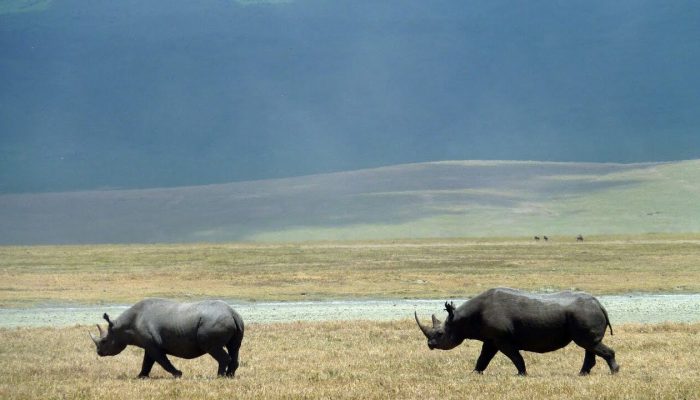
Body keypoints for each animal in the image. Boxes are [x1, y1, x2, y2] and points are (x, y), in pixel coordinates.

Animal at [89, 298, 245, 380]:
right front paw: (140, 377)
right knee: (234, 348)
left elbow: (162, 361)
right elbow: (147, 362)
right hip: (235, 321)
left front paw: (178, 374)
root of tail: (233, 313)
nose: (99, 352)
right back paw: (230, 376)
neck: (122, 327)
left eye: (104, 341)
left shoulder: (153, 345)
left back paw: (219, 377)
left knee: (214, 348)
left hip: (214, 323)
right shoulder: (149, 345)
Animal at [412, 288, 620, 376]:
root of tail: (600, 305)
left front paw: (521, 374)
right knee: (589, 345)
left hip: (584, 313)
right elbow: (483, 357)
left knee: (589, 344)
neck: (461, 319)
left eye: (440, 334)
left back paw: (614, 373)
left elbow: (515, 356)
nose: (430, 345)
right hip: (584, 313)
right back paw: (583, 374)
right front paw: (475, 373)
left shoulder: (502, 339)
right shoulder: (491, 338)